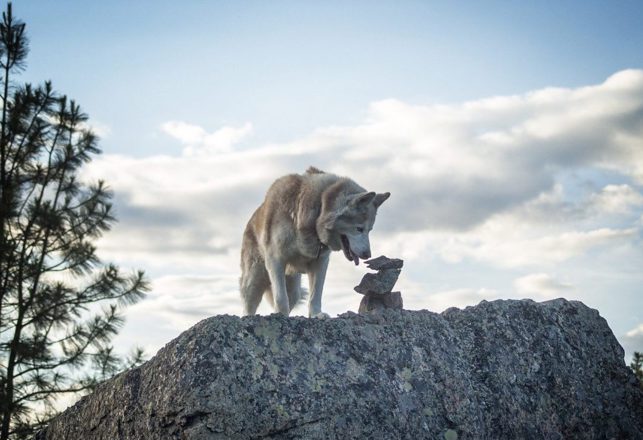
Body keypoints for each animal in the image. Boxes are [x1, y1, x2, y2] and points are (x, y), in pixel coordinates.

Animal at [240, 167, 390, 318]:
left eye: (369, 230)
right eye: (359, 229)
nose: (367, 255)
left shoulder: (320, 262)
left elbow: (316, 295)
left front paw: (316, 314)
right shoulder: (275, 260)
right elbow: (280, 298)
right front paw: (280, 315)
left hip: (294, 290)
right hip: (254, 280)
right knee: (249, 305)